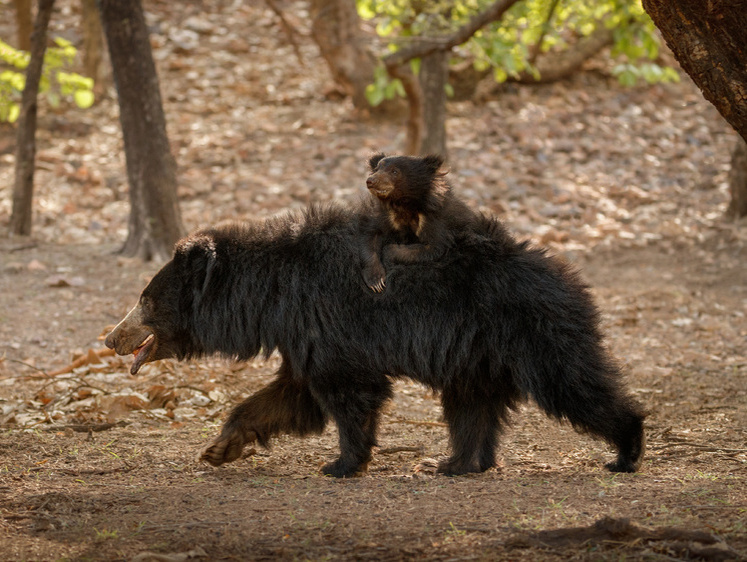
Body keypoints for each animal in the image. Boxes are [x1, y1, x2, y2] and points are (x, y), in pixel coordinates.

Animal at [106, 203, 648, 474]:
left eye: (146, 301)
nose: (111, 339)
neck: (273, 293)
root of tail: (571, 280)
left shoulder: (328, 321)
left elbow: (349, 392)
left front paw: (342, 463)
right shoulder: (302, 333)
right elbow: (291, 395)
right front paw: (221, 447)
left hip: (535, 332)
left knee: (574, 384)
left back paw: (626, 450)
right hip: (475, 355)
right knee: (471, 407)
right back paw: (456, 463)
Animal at [358, 153, 474, 294]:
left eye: (394, 171)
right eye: (377, 169)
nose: (370, 181)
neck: (403, 204)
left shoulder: (434, 219)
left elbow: (434, 246)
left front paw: (388, 255)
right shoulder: (386, 215)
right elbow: (371, 236)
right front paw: (376, 281)